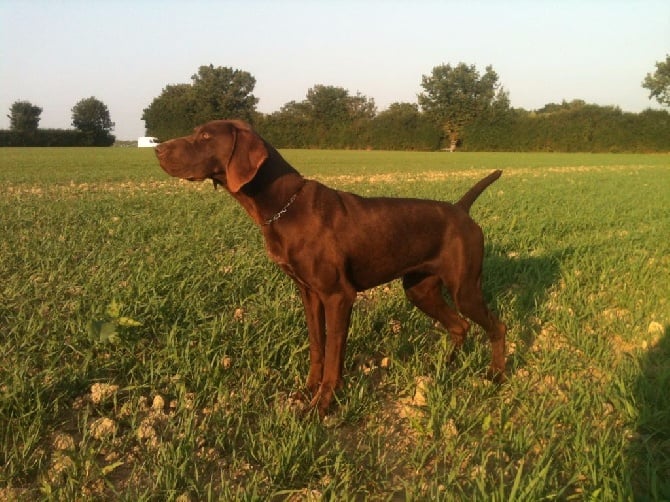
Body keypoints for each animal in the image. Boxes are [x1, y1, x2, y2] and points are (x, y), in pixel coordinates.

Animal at [155, 118, 506, 416]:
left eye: (205, 136)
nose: (157, 148)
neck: (284, 206)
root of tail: (460, 209)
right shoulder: (309, 294)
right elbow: (317, 347)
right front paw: (307, 390)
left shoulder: (339, 296)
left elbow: (334, 356)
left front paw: (323, 404)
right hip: (420, 290)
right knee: (459, 326)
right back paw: (446, 367)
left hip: (464, 289)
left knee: (496, 326)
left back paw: (495, 375)